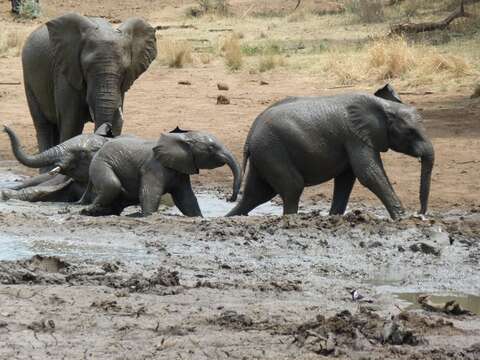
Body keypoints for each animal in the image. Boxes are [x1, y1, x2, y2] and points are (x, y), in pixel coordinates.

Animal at [21, 13, 157, 171]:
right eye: (87, 69)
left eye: (125, 70)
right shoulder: (66, 72)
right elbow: (71, 124)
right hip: (28, 78)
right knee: (43, 126)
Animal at [81, 128, 244, 218]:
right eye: (211, 149)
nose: (230, 198)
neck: (184, 137)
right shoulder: (153, 167)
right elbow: (150, 193)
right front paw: (147, 216)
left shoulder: (181, 169)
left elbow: (186, 199)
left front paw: (199, 217)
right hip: (101, 163)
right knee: (112, 185)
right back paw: (88, 210)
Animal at [227, 85, 434, 219]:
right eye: (411, 132)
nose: (420, 214)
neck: (384, 106)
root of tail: (249, 137)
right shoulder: (355, 137)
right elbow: (368, 174)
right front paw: (402, 218)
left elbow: (346, 179)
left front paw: (334, 217)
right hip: (272, 149)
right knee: (292, 187)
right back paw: (290, 220)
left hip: (264, 153)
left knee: (257, 194)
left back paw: (229, 218)